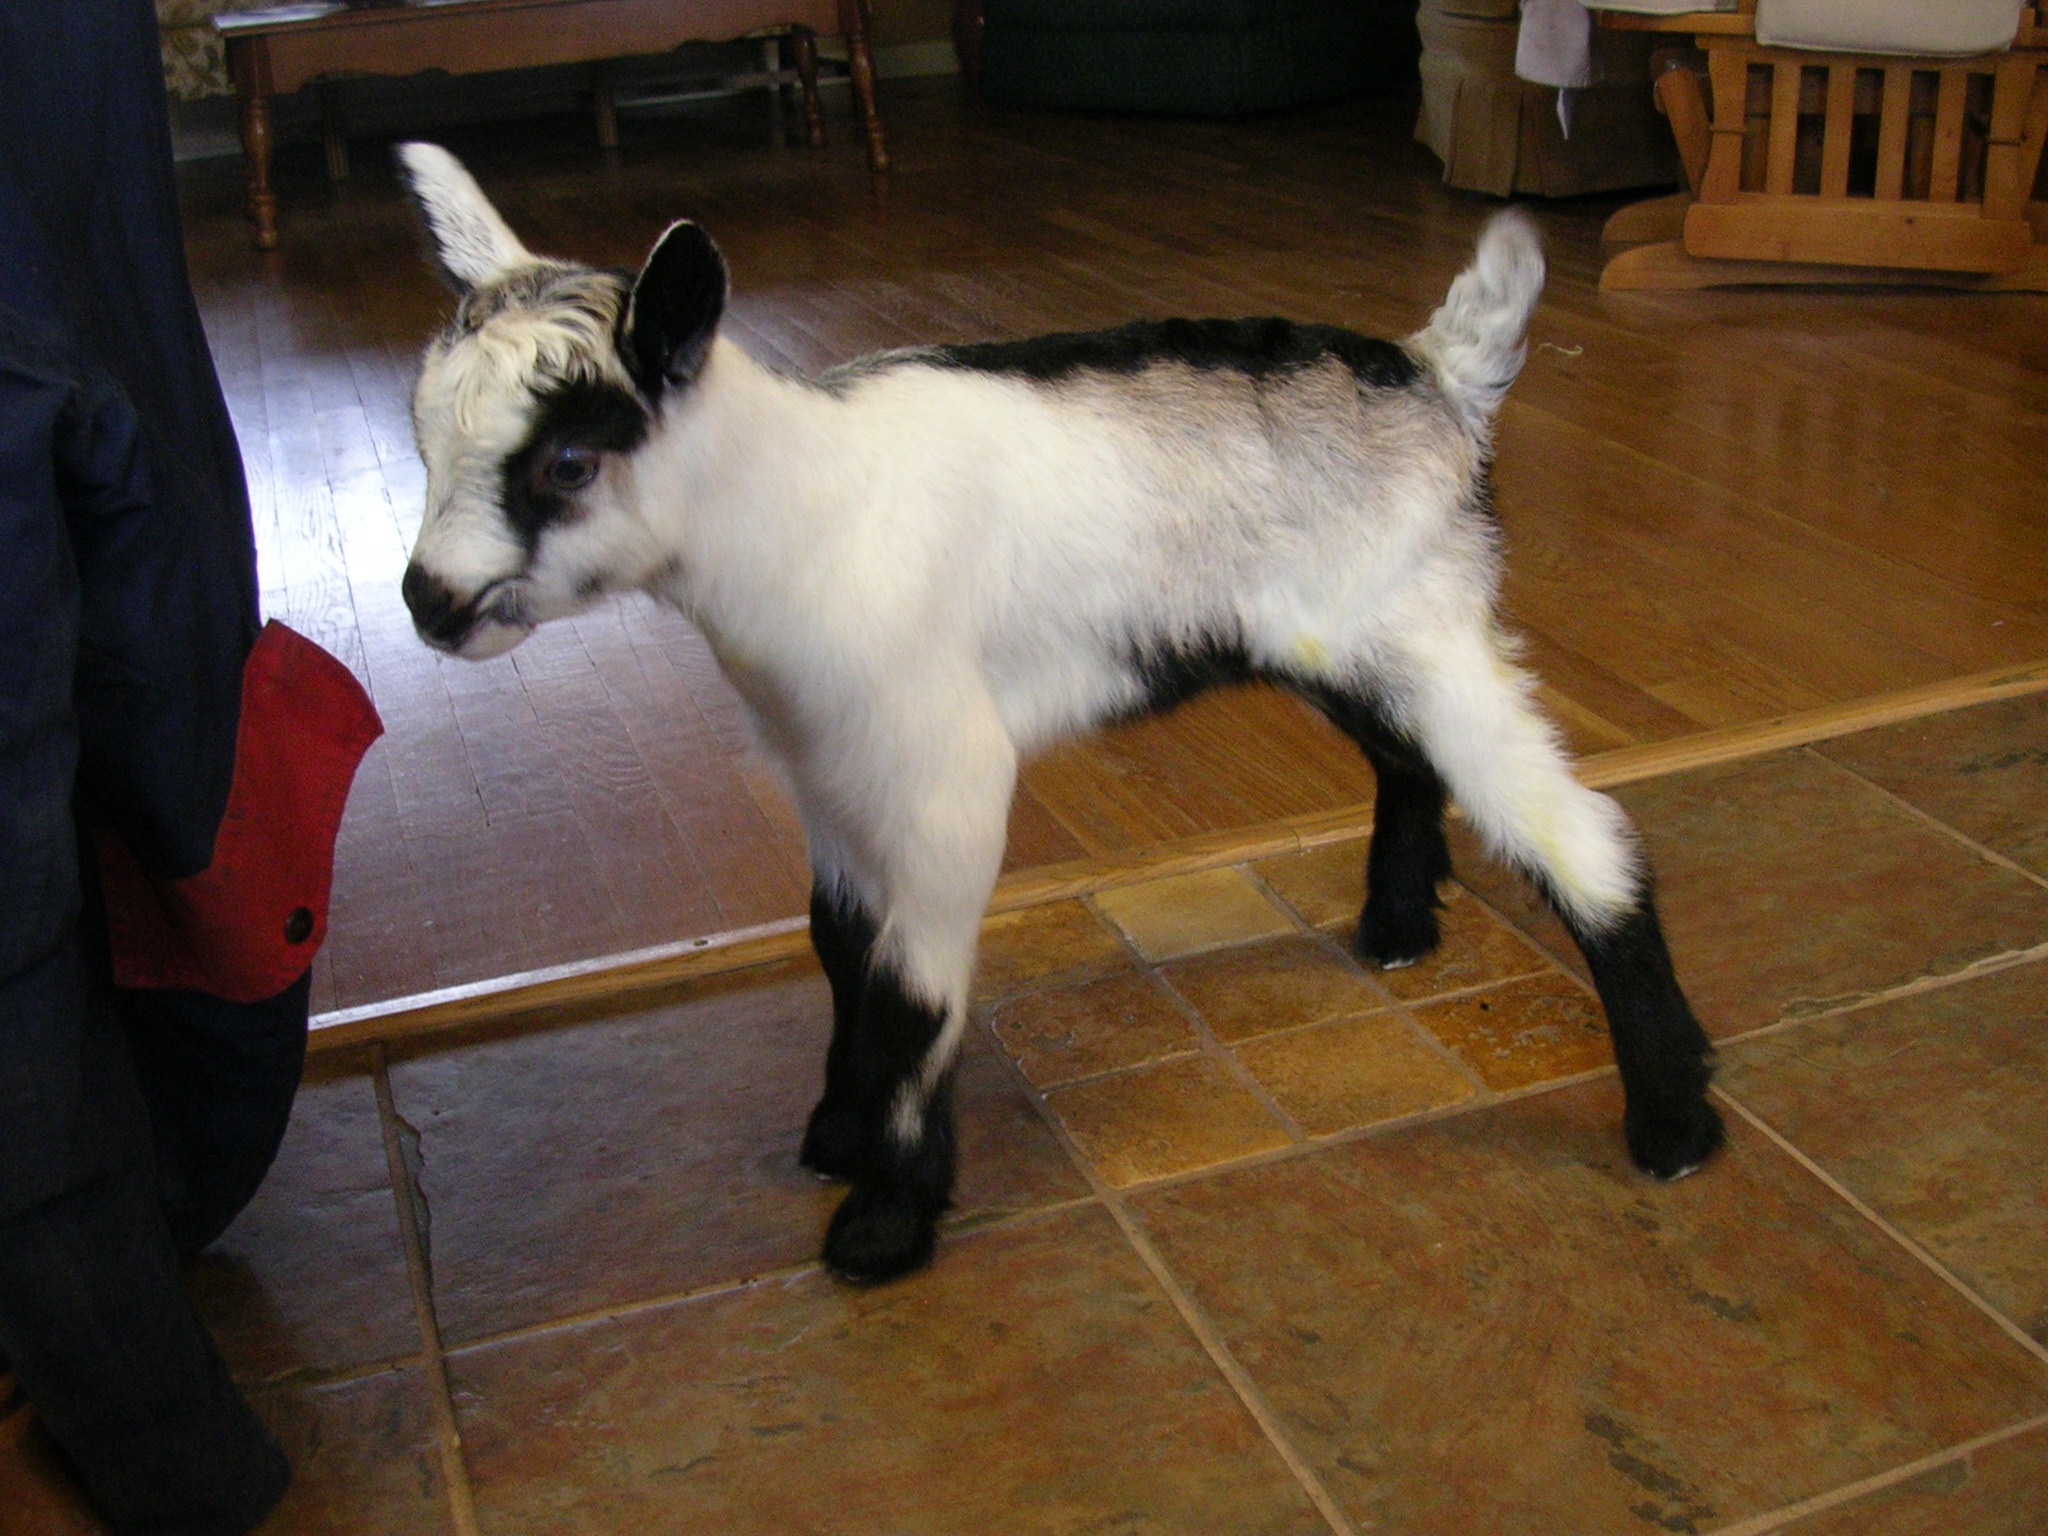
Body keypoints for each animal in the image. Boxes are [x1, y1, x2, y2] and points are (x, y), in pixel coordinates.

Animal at [395, 143, 1724, 1285]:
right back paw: (1399, 925)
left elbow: (909, 988)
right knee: (1408, 763)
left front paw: (885, 1219)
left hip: (1428, 630)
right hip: (1351, 640)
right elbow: (837, 943)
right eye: (420, 437)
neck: (800, 502)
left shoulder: (942, 774)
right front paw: (835, 1129)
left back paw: (1674, 1125)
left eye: (567, 462)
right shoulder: (826, 765)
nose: (427, 600)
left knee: (1584, 835)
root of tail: (1432, 375)